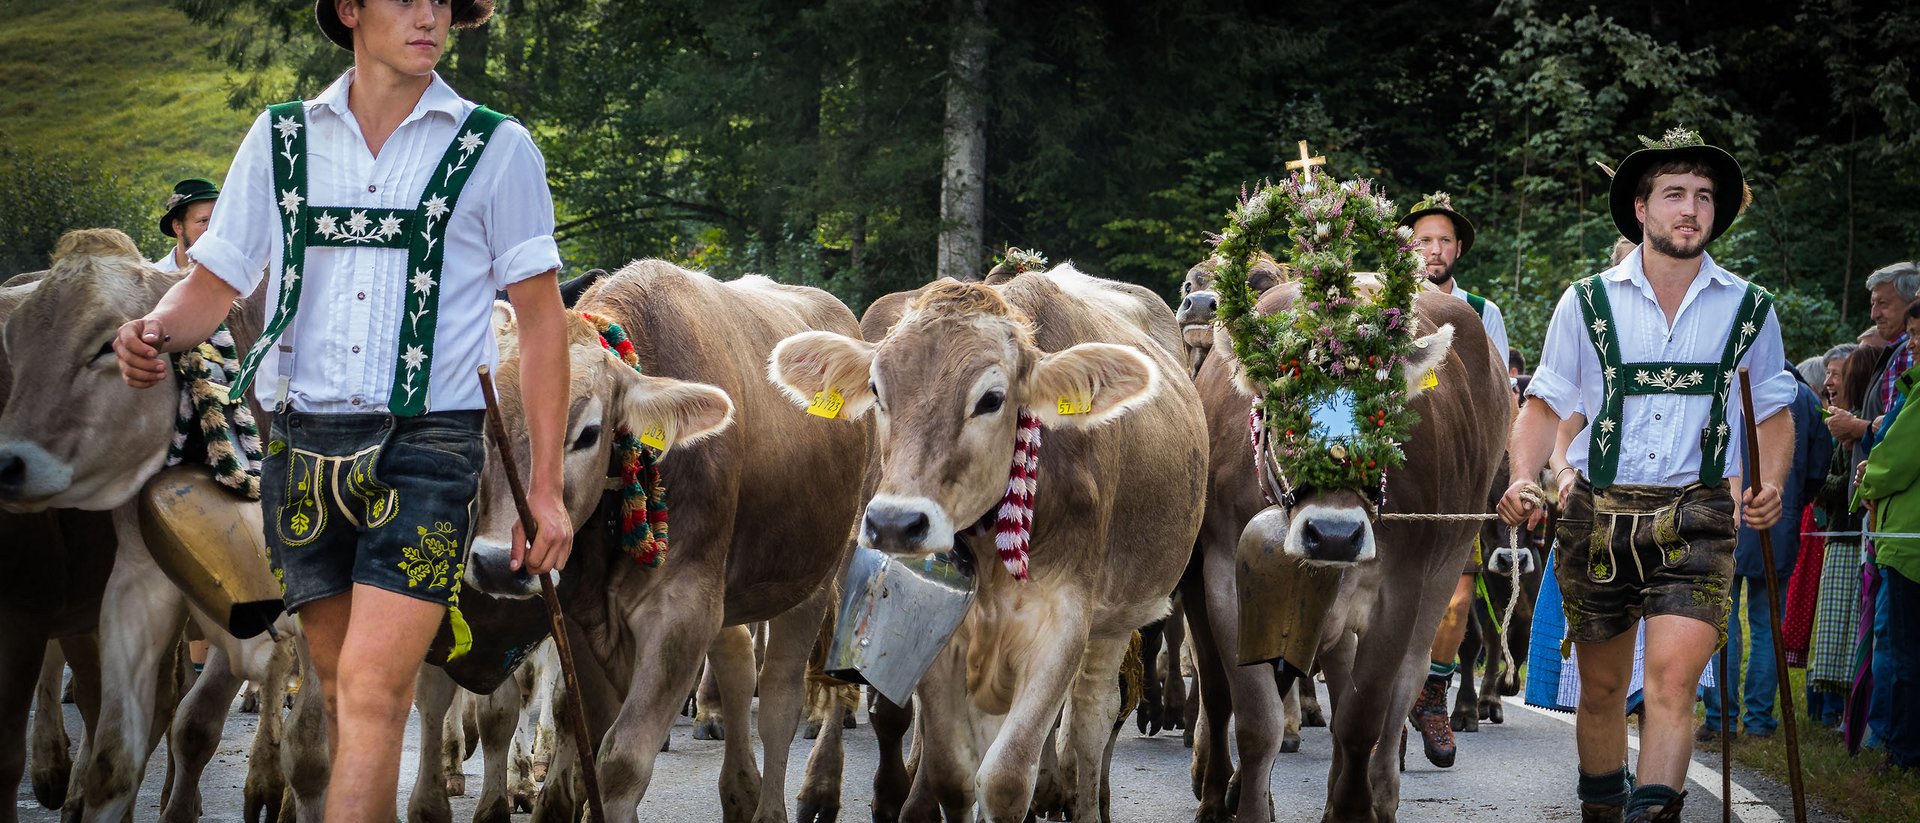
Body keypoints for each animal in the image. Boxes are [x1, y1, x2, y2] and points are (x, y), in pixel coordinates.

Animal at [464, 260, 864, 821]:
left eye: (588, 433)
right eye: (485, 418)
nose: (501, 564)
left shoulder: (683, 611)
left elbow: (621, 762)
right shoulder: (584, 622)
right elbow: (586, 733)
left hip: (815, 579)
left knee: (780, 702)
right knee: (738, 663)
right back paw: (738, 788)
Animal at [764, 266, 1198, 817]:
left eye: (991, 399)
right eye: (877, 390)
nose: (895, 523)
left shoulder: (1062, 625)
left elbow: (1007, 777)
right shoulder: (941, 631)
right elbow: (953, 774)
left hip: (1116, 624)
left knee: (1091, 724)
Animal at [1182, 278, 1512, 817]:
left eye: (1382, 416)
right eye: (1289, 413)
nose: (1334, 534)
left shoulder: (1399, 589)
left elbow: (1363, 718)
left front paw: (1354, 809)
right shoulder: (1224, 580)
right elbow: (1255, 721)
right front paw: (1245, 804)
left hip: (1450, 562)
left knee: (1405, 685)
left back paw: (1381, 794)